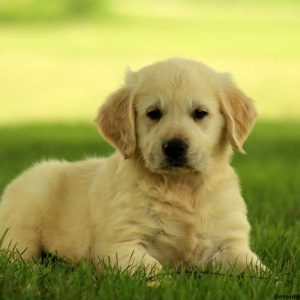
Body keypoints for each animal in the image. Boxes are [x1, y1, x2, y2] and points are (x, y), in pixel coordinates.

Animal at [0, 58, 264, 272]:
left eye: (200, 113)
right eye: (153, 113)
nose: (174, 147)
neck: (181, 187)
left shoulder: (229, 242)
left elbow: (257, 270)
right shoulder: (120, 244)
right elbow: (153, 270)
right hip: (25, 209)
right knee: (14, 254)